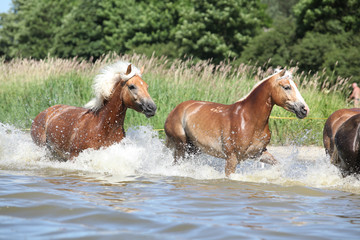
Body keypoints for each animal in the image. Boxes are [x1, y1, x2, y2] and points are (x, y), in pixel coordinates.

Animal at [165, 69, 310, 176]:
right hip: (181, 147)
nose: (304, 109)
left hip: (193, 149)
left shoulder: (259, 153)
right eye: (286, 87)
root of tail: (175, 110)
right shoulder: (232, 158)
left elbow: (277, 164)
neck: (248, 119)